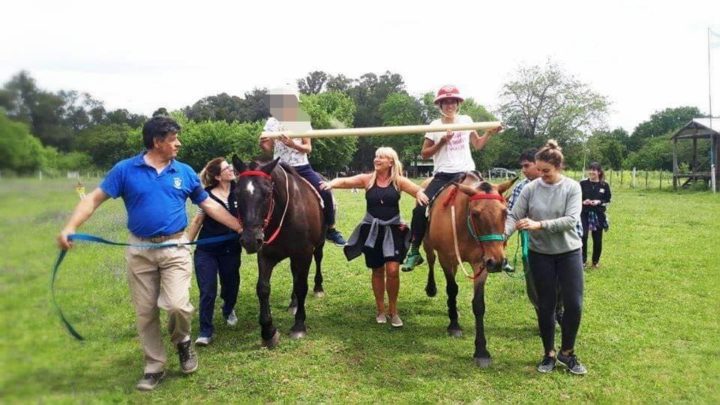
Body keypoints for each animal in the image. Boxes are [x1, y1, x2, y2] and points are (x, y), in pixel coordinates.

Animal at [232, 156, 324, 346]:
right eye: (236, 193)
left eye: (267, 193)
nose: (250, 240)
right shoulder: (266, 255)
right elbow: (263, 288)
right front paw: (268, 331)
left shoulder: (304, 254)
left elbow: (302, 287)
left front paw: (299, 325)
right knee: (295, 275)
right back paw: (293, 304)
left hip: (318, 245)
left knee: (318, 259)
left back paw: (318, 287)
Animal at [422, 172, 516, 368]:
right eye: (475, 213)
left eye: (505, 212)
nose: (498, 262)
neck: (464, 224)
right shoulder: (445, 257)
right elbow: (452, 289)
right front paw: (454, 325)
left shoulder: (481, 262)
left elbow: (478, 305)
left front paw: (481, 351)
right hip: (428, 244)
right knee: (430, 260)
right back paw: (432, 289)